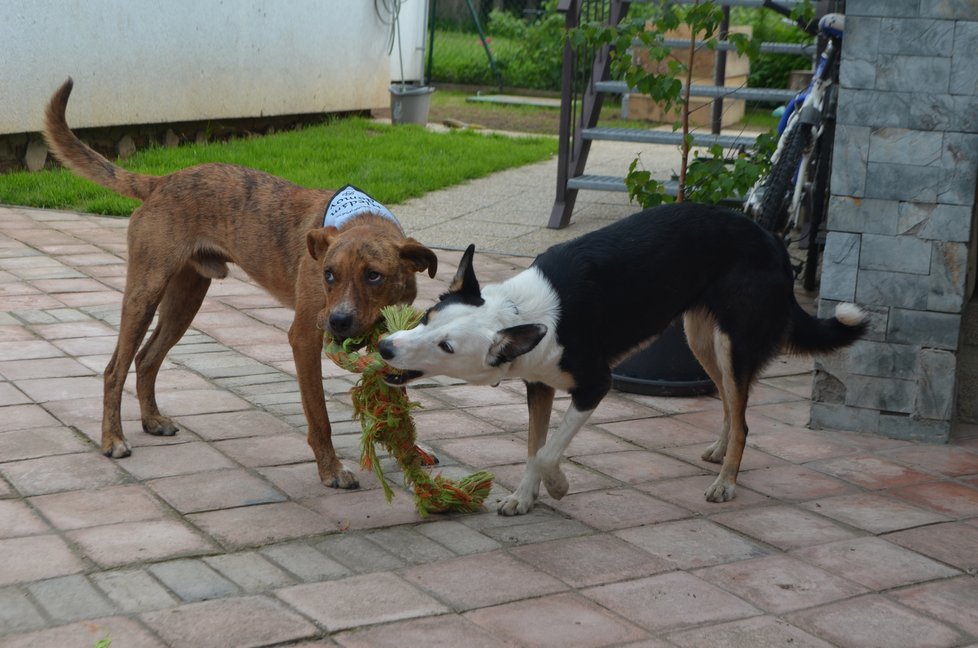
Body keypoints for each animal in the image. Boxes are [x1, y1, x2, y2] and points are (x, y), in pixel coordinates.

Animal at [43, 78, 434, 488]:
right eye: (329, 274)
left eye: (374, 275)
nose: (338, 322)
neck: (361, 219)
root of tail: (162, 181)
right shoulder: (304, 337)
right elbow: (319, 417)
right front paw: (331, 469)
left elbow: (398, 404)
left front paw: (412, 453)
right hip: (145, 293)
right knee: (113, 369)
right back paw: (113, 439)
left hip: (185, 300)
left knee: (146, 358)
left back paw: (151, 420)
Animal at [376, 202, 860, 516]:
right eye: (427, 316)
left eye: (447, 347)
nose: (385, 347)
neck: (521, 313)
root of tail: (772, 240)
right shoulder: (539, 385)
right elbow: (534, 446)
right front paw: (524, 498)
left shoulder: (595, 385)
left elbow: (547, 452)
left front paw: (557, 486)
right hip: (700, 339)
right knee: (730, 404)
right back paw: (721, 452)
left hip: (732, 344)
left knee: (742, 417)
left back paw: (726, 482)